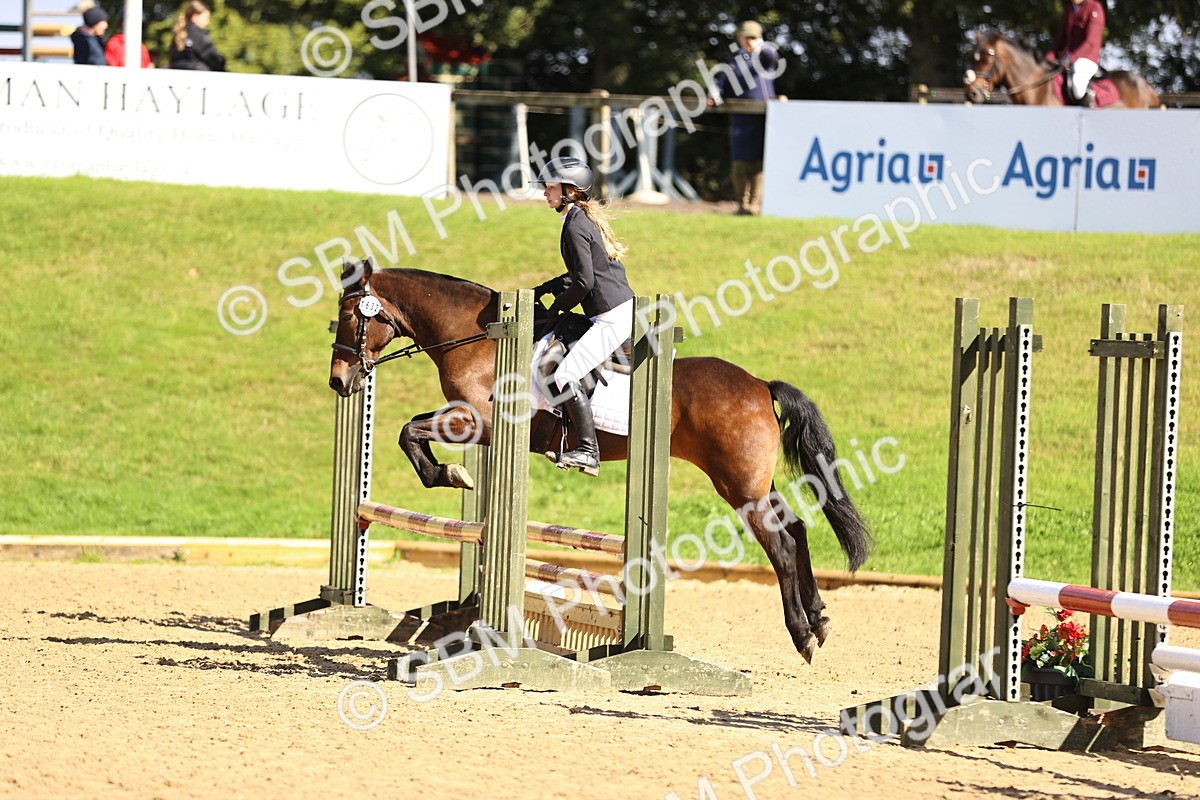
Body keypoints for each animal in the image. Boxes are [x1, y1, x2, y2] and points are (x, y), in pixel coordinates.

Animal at [328, 259, 872, 663]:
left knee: (780, 543)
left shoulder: (478, 421)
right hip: (752, 481)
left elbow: (408, 431)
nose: (339, 381)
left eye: (353, 314)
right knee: (796, 528)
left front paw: (448, 472)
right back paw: (819, 618)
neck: (479, 336)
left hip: (738, 485)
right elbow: (412, 429)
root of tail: (759, 384)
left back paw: (801, 635)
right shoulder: (468, 421)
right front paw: (450, 472)